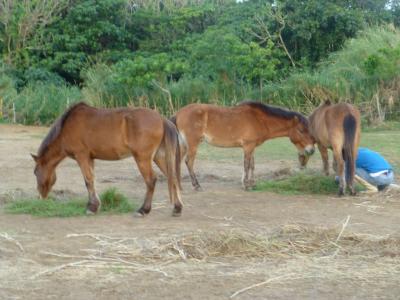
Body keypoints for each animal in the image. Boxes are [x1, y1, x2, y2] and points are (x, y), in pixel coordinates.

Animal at [32, 102, 183, 216]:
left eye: (35, 172)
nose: (40, 197)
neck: (67, 128)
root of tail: (161, 119)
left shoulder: (82, 156)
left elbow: (88, 181)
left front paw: (91, 207)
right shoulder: (90, 158)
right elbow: (91, 180)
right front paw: (94, 205)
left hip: (143, 159)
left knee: (151, 180)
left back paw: (143, 210)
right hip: (159, 156)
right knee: (173, 178)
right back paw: (177, 208)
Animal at [172, 101, 316, 190]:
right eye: (301, 130)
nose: (311, 150)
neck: (259, 119)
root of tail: (179, 114)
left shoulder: (252, 147)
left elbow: (252, 165)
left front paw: (252, 184)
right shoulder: (248, 146)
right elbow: (246, 165)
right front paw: (246, 185)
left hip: (183, 145)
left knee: (177, 161)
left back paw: (179, 185)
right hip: (192, 145)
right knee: (189, 162)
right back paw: (196, 186)